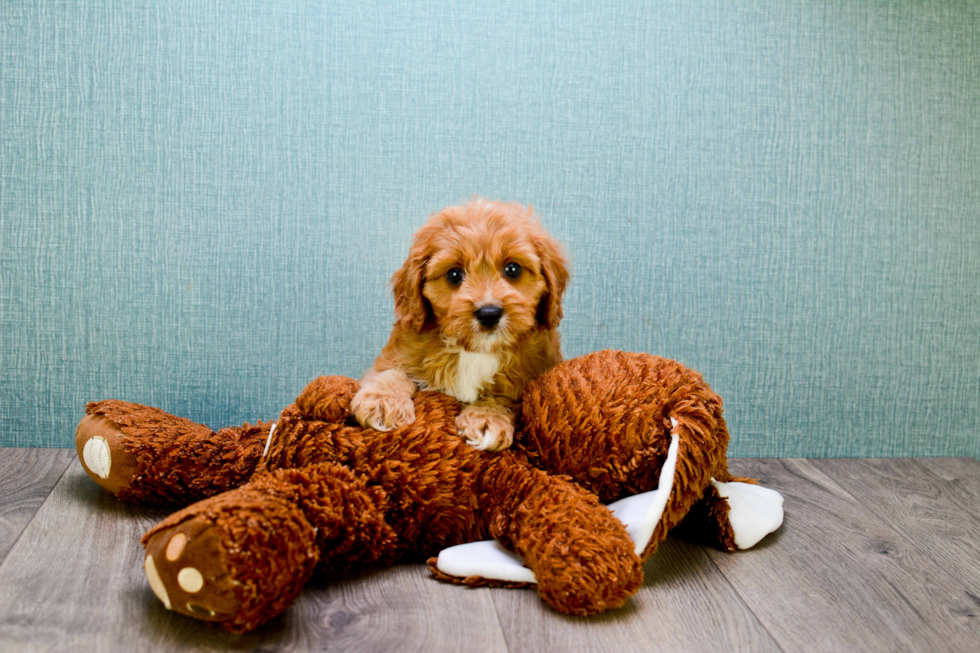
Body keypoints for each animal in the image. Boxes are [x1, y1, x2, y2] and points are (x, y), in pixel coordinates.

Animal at [350, 199, 568, 450]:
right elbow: (390, 372)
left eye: (513, 269)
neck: (475, 351)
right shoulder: (399, 351)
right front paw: (382, 401)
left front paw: (487, 419)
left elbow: (502, 397)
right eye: (454, 275)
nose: (489, 313)